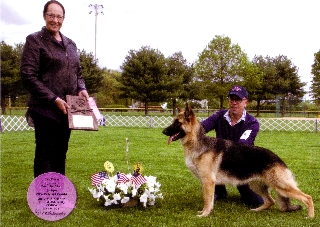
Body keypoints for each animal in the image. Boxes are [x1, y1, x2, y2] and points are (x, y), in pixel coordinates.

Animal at [164, 103, 314, 217]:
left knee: (308, 198)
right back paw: (256, 210)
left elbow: (207, 200)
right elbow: (208, 199)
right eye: (173, 122)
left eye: (177, 123)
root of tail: (278, 159)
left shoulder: (208, 182)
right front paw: (204, 212)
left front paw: (204, 214)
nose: (163, 132)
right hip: (257, 185)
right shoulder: (207, 183)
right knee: (270, 201)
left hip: (281, 185)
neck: (198, 142)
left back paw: (310, 217)